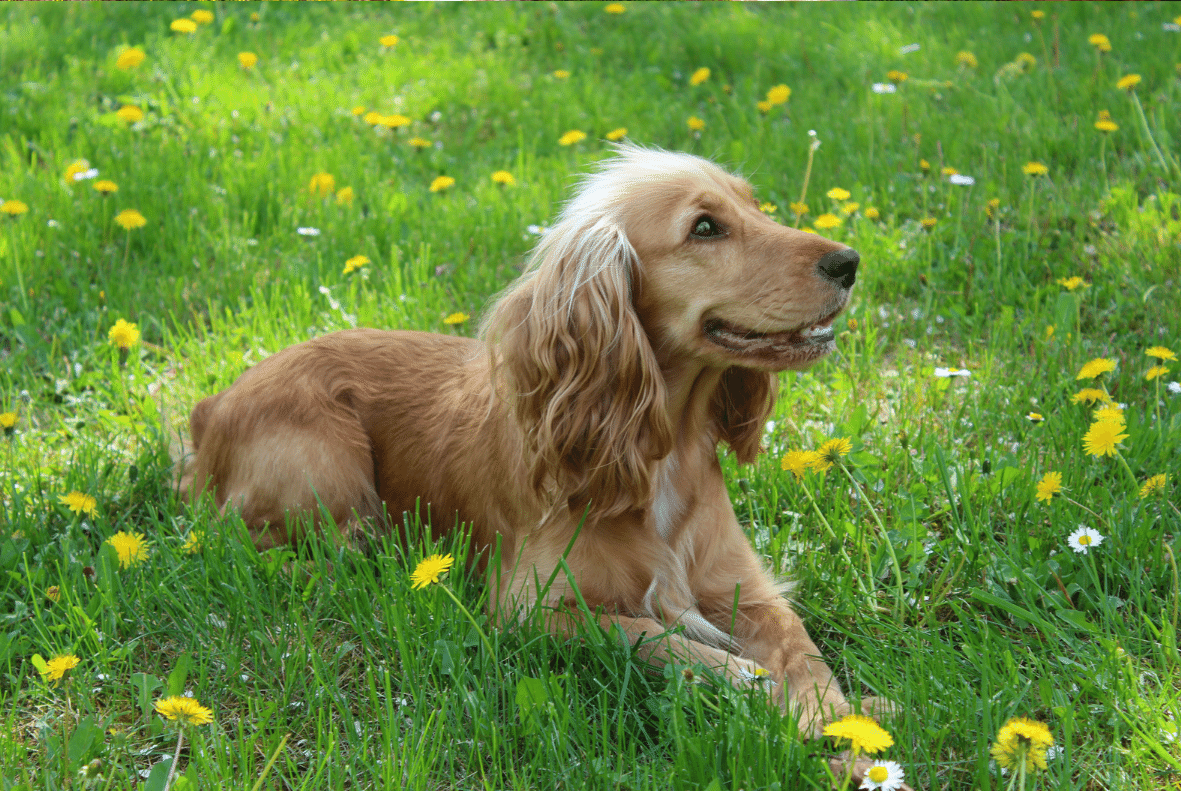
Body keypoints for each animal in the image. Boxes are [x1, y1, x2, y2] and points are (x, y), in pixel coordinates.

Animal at [181, 145, 888, 760]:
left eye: (755, 206)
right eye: (705, 228)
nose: (850, 262)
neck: (660, 451)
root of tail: (213, 403)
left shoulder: (747, 589)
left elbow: (803, 652)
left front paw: (836, 723)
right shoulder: (528, 610)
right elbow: (638, 631)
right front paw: (736, 676)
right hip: (330, 467)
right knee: (270, 550)